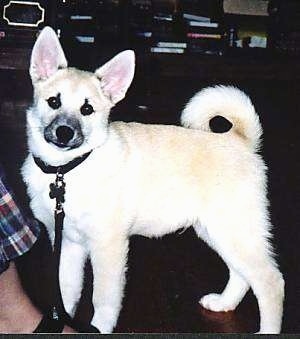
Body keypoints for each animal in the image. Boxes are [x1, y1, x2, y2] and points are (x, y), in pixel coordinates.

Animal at [21, 27, 284, 334]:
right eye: (54, 102)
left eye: (87, 110)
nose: (64, 132)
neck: (67, 170)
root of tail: (241, 141)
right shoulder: (68, 245)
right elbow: (65, 292)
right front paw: (58, 322)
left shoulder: (108, 245)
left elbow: (103, 299)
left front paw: (99, 327)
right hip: (219, 232)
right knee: (241, 274)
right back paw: (223, 303)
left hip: (235, 231)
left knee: (270, 282)